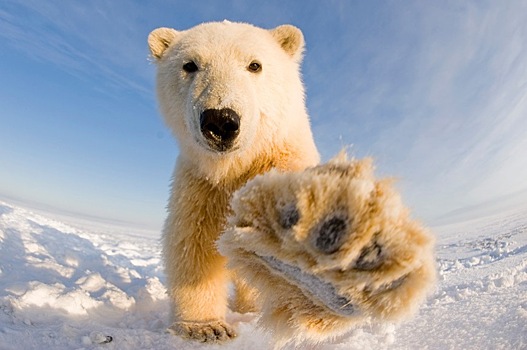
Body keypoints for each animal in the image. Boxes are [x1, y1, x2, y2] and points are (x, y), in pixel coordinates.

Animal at [150, 21, 322, 342]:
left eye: (255, 65)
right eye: (189, 65)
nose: (220, 121)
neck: (236, 168)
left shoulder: (283, 173)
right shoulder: (201, 188)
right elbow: (194, 245)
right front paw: (204, 327)